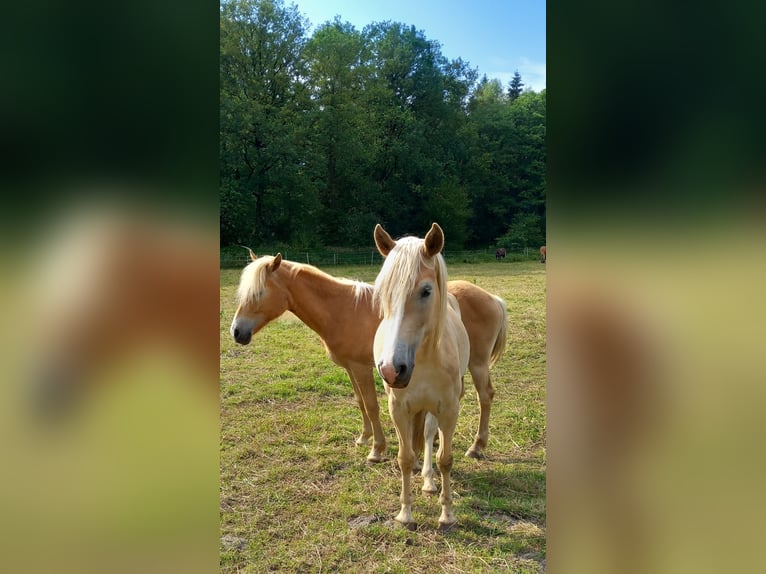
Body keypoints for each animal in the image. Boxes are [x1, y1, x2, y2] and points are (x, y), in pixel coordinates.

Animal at [231, 254, 508, 466]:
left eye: (258, 293)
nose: (236, 332)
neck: (343, 309)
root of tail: (493, 298)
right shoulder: (350, 368)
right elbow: (360, 402)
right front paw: (364, 438)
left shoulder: (363, 368)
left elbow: (372, 405)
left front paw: (376, 449)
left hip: (478, 364)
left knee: (485, 396)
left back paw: (477, 446)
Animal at [370, 224, 468, 532]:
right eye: (382, 291)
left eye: (426, 290)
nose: (391, 369)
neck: (424, 360)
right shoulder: (398, 409)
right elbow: (403, 458)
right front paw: (405, 513)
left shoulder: (448, 409)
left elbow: (444, 459)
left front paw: (447, 514)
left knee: (427, 437)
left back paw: (428, 481)